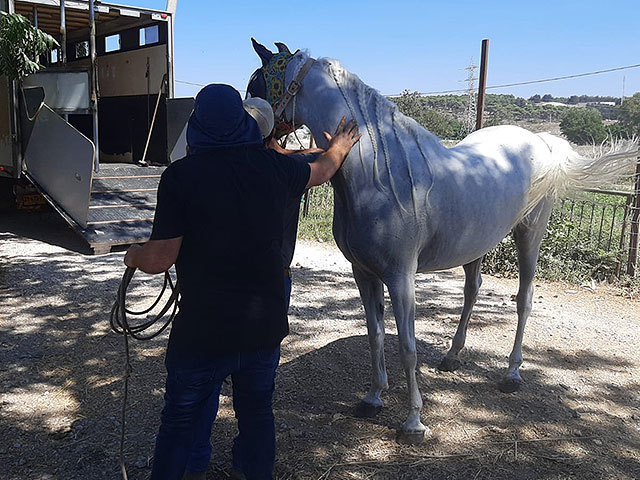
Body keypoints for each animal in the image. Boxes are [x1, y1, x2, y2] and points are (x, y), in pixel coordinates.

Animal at [249, 39, 636, 444]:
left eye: (256, 81)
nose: (259, 137)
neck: (378, 172)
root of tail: (540, 141)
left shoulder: (401, 278)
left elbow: (407, 347)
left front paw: (414, 422)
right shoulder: (364, 274)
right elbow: (375, 336)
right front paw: (373, 398)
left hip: (530, 233)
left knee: (524, 300)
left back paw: (512, 374)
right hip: (477, 243)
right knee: (472, 290)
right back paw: (452, 356)